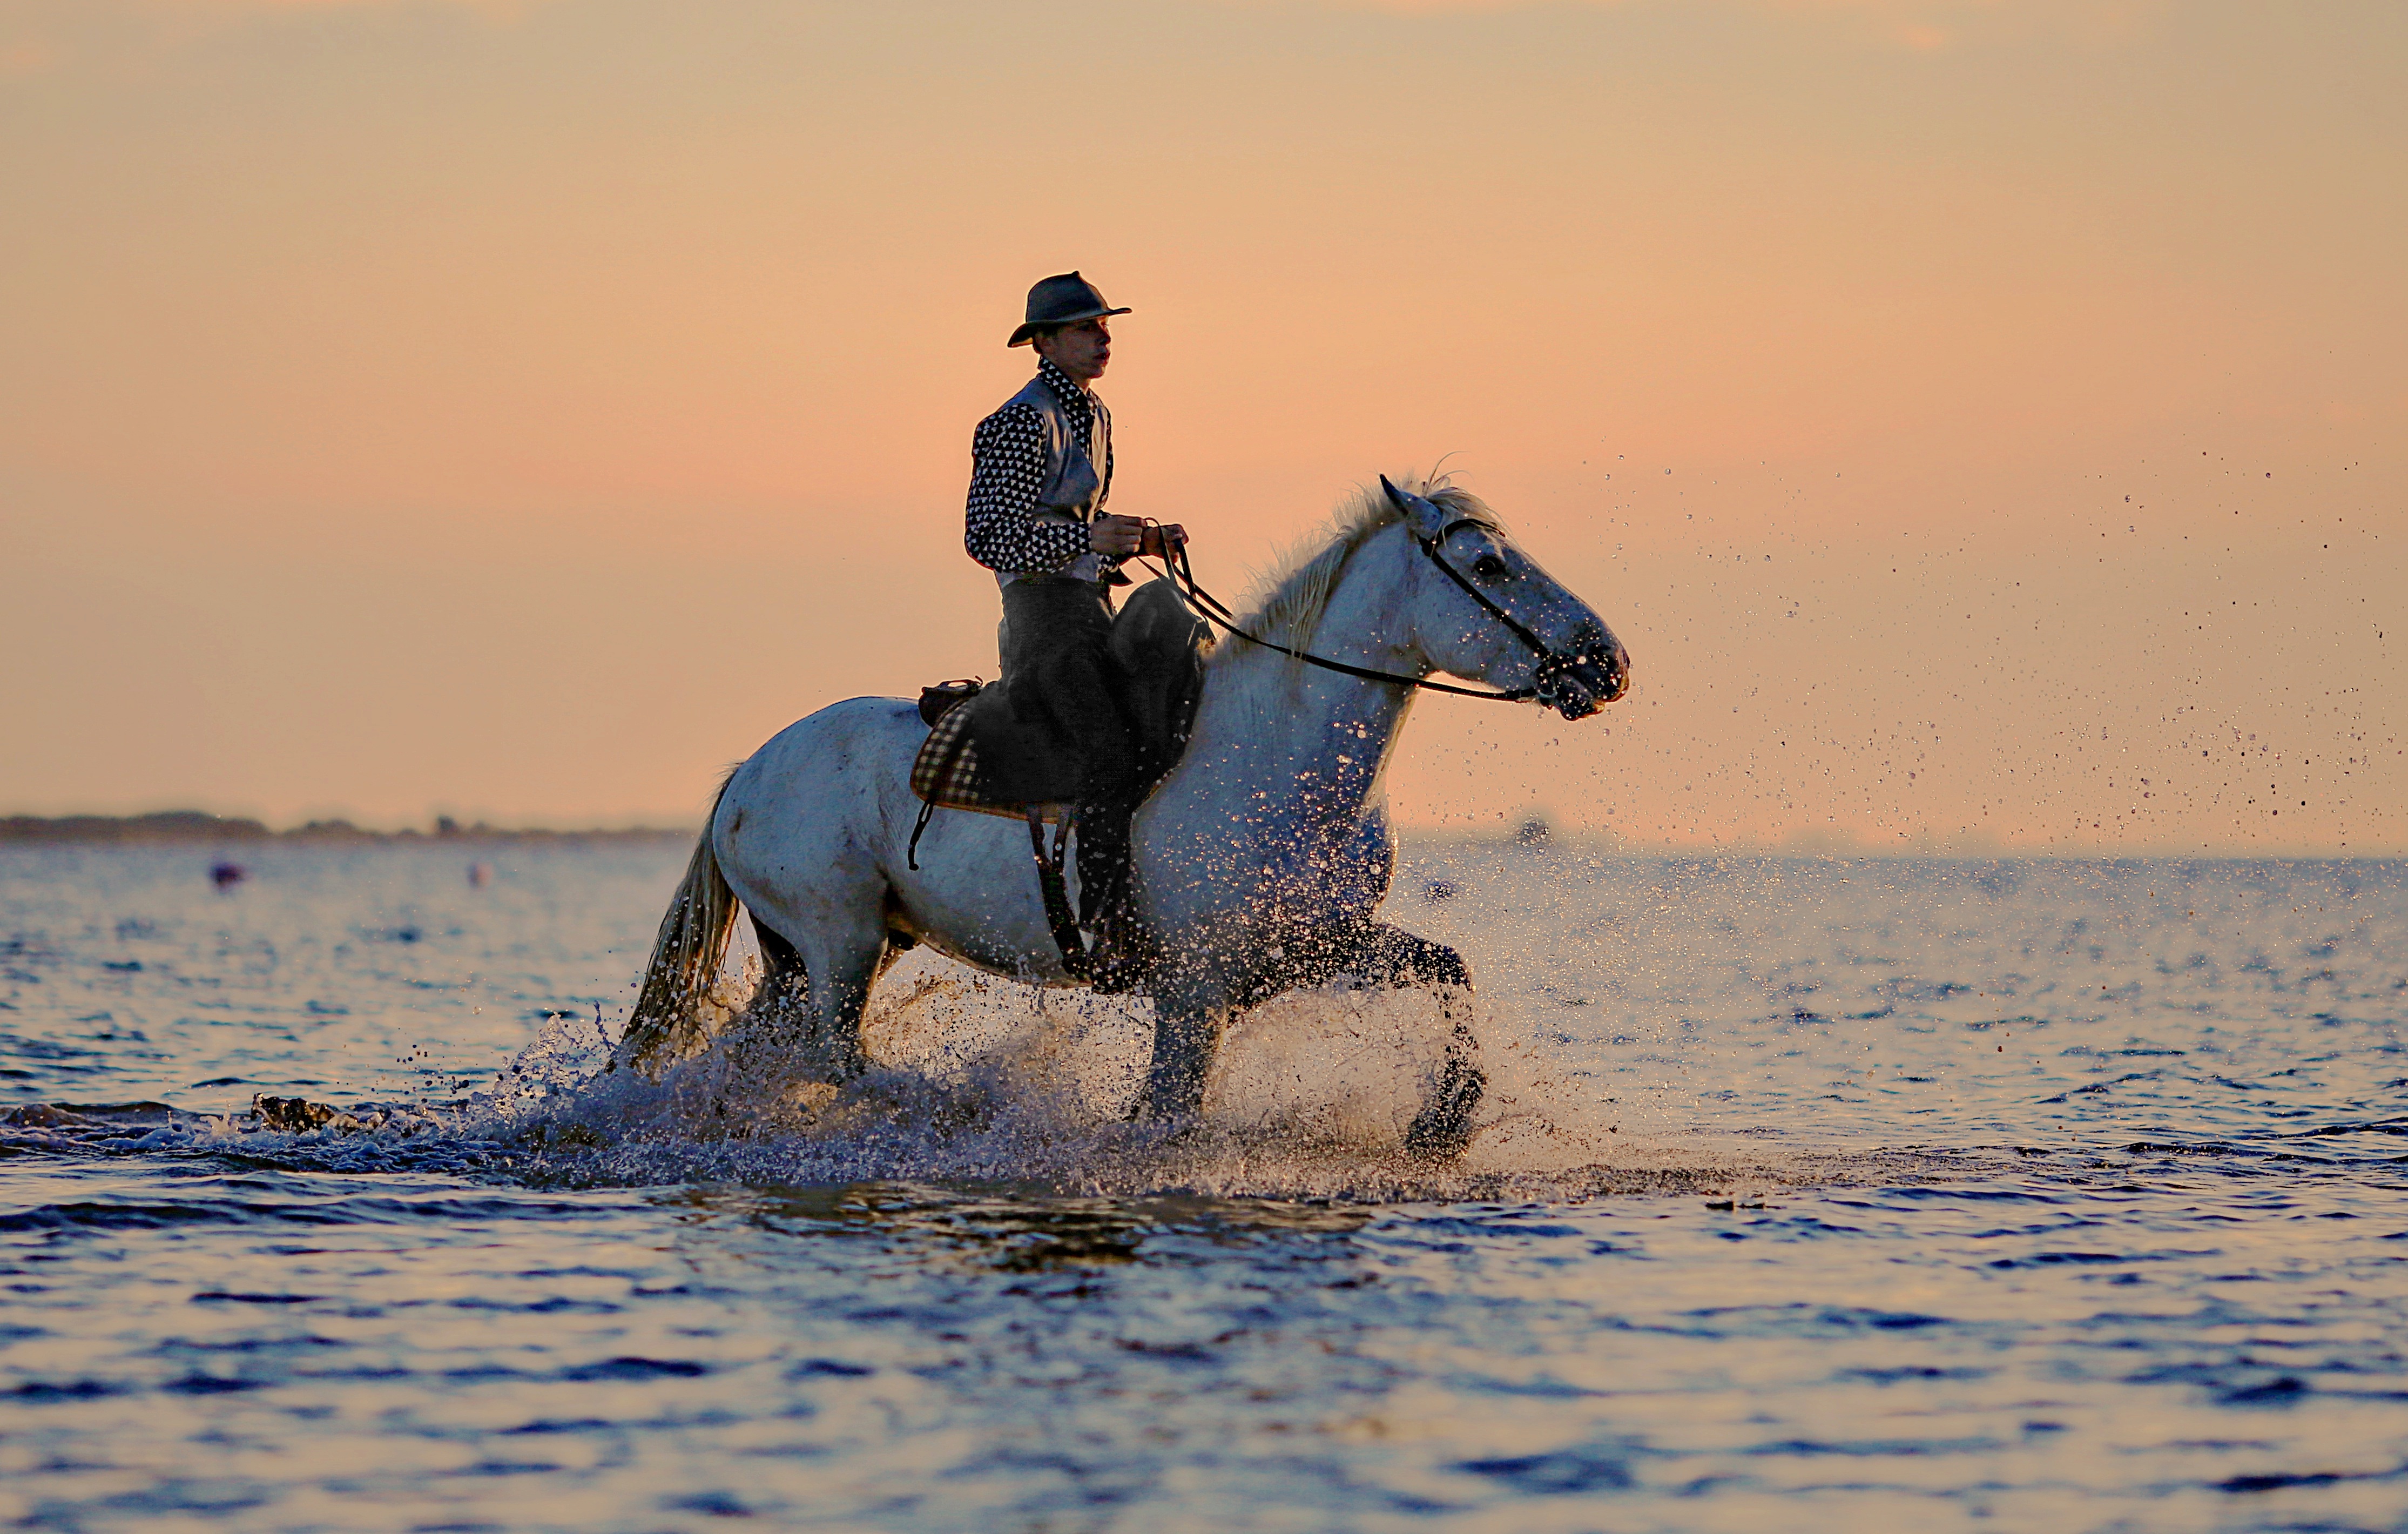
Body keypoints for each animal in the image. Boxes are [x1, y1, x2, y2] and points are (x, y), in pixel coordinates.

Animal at [616, 479, 1637, 1146]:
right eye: (1488, 564)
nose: (1607, 662)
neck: (1279, 761)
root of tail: (747, 772)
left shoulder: (1312, 947)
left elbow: (1447, 968)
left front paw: (1444, 1119)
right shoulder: (1193, 990)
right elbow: (1172, 1115)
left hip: (815, 954)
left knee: (763, 1054)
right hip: (839, 943)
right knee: (836, 1061)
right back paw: (957, 1109)